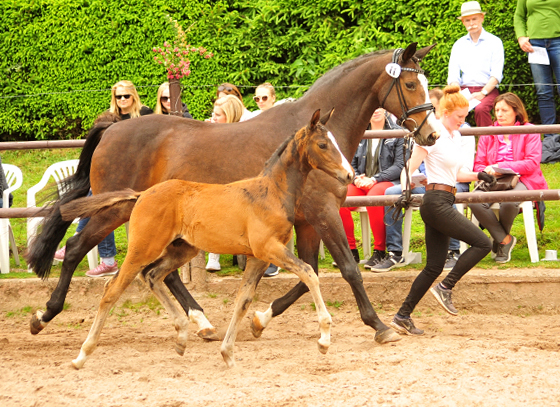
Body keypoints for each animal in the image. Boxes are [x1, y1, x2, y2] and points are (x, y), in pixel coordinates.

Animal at [62, 111, 354, 370]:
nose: (350, 174)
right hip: (143, 248)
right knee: (113, 289)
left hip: (182, 249)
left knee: (153, 275)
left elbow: (243, 300)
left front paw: (228, 353)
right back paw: (81, 355)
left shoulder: (259, 258)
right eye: (323, 144)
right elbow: (309, 273)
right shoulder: (270, 249)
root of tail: (141, 194)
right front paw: (324, 340)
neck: (271, 192)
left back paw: (182, 335)